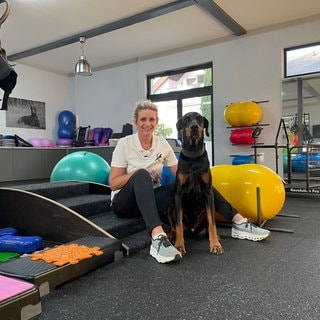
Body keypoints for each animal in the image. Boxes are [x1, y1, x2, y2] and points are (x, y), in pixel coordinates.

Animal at [169, 112, 224, 255]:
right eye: (186, 119)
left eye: (199, 118)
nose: (194, 127)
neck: (193, 156)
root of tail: (191, 229)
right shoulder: (178, 194)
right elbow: (178, 223)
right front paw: (179, 245)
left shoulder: (208, 194)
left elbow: (212, 222)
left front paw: (215, 245)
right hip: (171, 207)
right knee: (174, 226)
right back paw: (171, 235)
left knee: (209, 223)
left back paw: (214, 237)